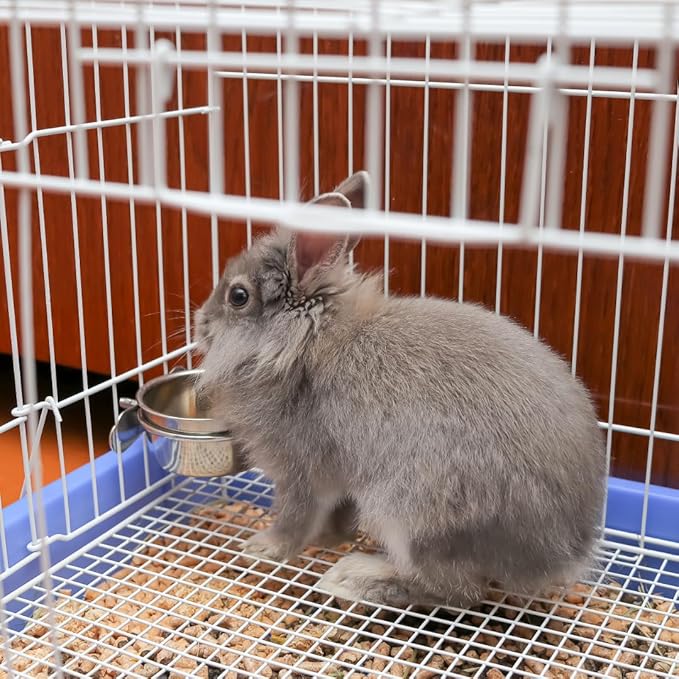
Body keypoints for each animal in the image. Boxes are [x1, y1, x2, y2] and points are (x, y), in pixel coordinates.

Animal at [193, 170, 606, 609]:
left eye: (238, 296)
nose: (200, 320)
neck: (303, 342)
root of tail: (560, 554)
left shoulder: (300, 469)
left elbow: (295, 517)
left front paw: (263, 547)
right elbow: (336, 516)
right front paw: (328, 539)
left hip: (411, 514)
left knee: (457, 591)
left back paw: (355, 578)